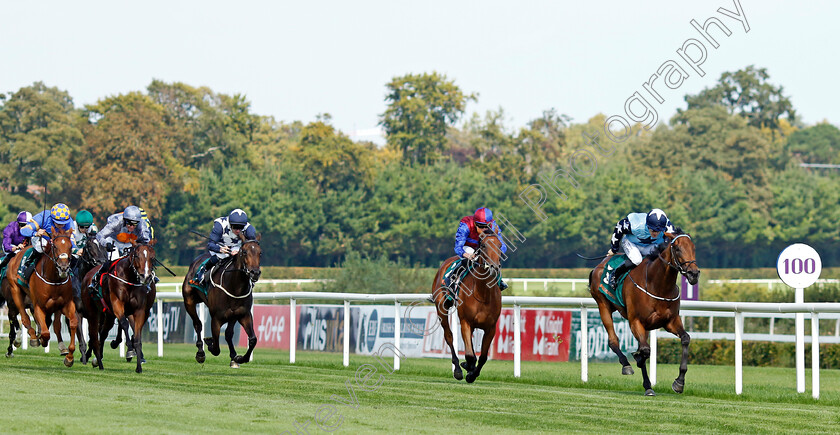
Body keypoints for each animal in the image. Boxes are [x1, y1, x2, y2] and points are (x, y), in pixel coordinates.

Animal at [1, 228, 78, 368]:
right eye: (55, 246)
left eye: (70, 246)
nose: (64, 268)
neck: (53, 279)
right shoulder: (38, 306)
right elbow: (45, 332)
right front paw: (40, 339)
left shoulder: (65, 304)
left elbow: (71, 323)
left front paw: (69, 357)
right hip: (15, 293)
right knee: (24, 318)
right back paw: (29, 338)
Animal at [182, 238, 260, 368]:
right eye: (244, 252)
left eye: (260, 253)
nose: (255, 272)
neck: (235, 286)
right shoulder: (216, 318)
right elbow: (216, 347)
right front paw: (209, 342)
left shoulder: (244, 314)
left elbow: (253, 339)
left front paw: (240, 358)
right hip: (189, 302)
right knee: (198, 324)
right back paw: (200, 353)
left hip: (233, 315)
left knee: (228, 333)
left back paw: (233, 356)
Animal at [430, 230, 502, 384]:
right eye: (484, 245)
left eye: (500, 245)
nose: (494, 267)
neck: (483, 293)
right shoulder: (465, 322)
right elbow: (469, 354)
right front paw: (466, 368)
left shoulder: (491, 327)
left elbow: (483, 357)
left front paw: (472, 373)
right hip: (441, 309)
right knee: (449, 336)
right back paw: (457, 368)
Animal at [588, 230, 700, 396]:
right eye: (678, 249)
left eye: (693, 248)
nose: (694, 274)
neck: (658, 285)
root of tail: (600, 264)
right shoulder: (635, 321)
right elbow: (645, 350)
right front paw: (641, 369)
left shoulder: (670, 321)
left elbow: (685, 339)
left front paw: (679, 382)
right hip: (603, 305)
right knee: (613, 340)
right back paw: (627, 365)